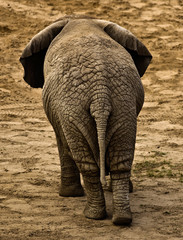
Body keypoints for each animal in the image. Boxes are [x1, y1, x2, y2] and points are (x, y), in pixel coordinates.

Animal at [19, 15, 152, 225]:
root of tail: (100, 93)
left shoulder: (61, 113)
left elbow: (62, 143)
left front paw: (68, 195)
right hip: (122, 105)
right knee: (122, 160)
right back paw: (121, 219)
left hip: (74, 110)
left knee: (85, 162)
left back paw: (92, 215)